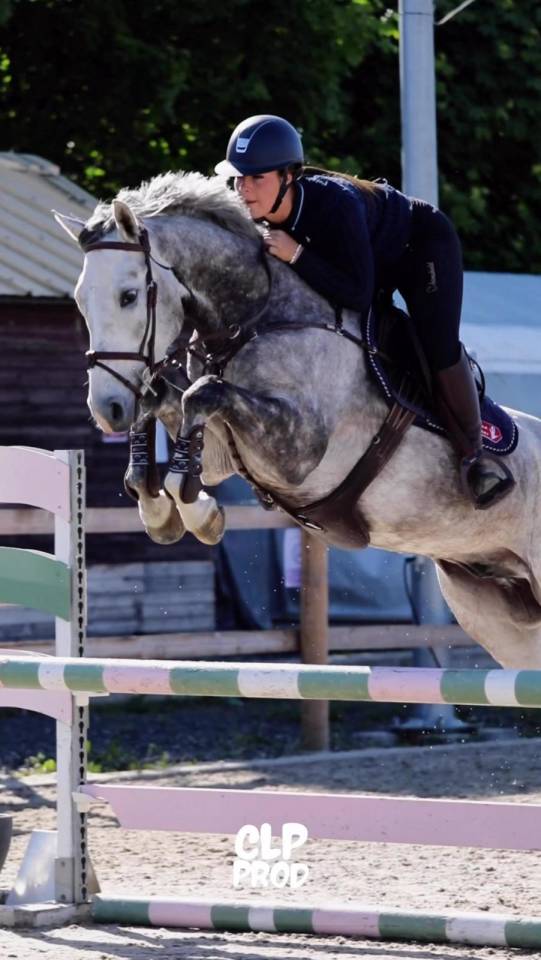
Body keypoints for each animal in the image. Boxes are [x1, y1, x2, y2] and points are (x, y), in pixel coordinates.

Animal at [54, 170, 541, 669]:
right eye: (80, 301)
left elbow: (201, 394)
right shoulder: (223, 452)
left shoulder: (297, 450)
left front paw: (197, 512)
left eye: (129, 296)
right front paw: (158, 507)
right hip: (493, 611)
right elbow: (168, 403)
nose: (107, 409)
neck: (258, 318)